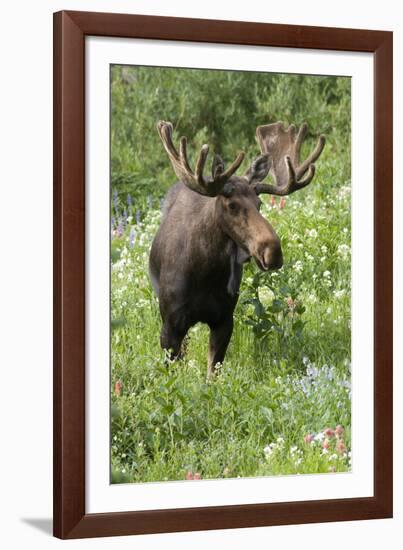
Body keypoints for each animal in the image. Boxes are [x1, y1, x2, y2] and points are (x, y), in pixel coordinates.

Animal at [150, 121, 326, 380]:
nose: (273, 251)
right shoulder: (170, 324)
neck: (206, 273)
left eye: (259, 203)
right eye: (232, 205)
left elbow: (213, 374)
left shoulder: (224, 319)